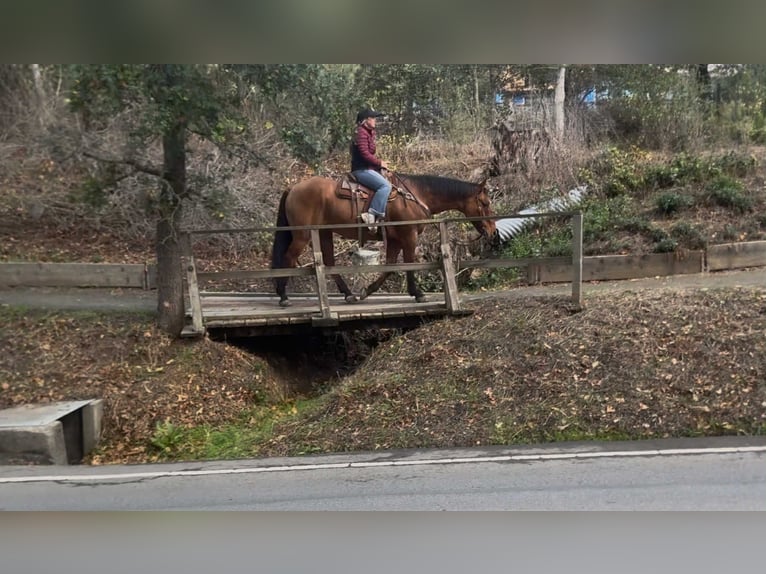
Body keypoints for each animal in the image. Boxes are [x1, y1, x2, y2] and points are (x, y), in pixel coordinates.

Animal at [270, 171, 499, 307]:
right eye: (485, 203)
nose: (493, 231)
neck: (415, 196)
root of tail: (293, 188)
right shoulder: (408, 236)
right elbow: (409, 264)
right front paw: (418, 293)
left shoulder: (396, 240)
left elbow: (389, 267)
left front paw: (367, 292)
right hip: (303, 235)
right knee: (289, 258)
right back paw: (283, 296)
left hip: (324, 233)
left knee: (328, 262)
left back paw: (348, 294)